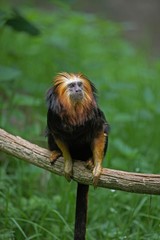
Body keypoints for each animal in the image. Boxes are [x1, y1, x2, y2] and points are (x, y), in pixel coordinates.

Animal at [46, 73, 109, 240]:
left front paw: (97, 166)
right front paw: (67, 163)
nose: (78, 89)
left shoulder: (94, 114)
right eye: (71, 86)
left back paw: (90, 160)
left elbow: (99, 132)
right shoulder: (52, 116)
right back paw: (56, 152)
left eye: (79, 84)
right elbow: (57, 135)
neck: (74, 110)